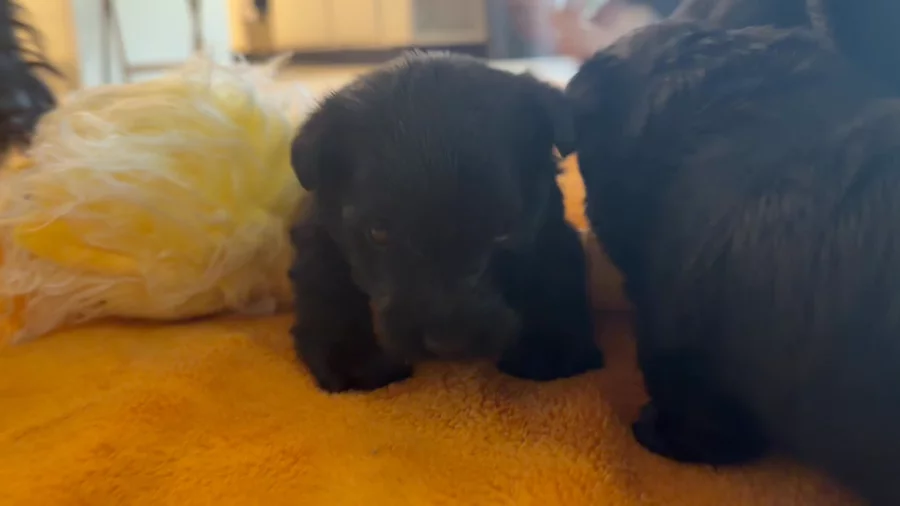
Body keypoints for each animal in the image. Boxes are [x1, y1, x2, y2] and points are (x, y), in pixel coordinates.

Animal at [288, 52, 602, 393]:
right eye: (379, 232)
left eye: (504, 231)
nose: (449, 346)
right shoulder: (320, 235)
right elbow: (327, 279)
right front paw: (355, 355)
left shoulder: (548, 229)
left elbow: (555, 268)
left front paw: (552, 344)